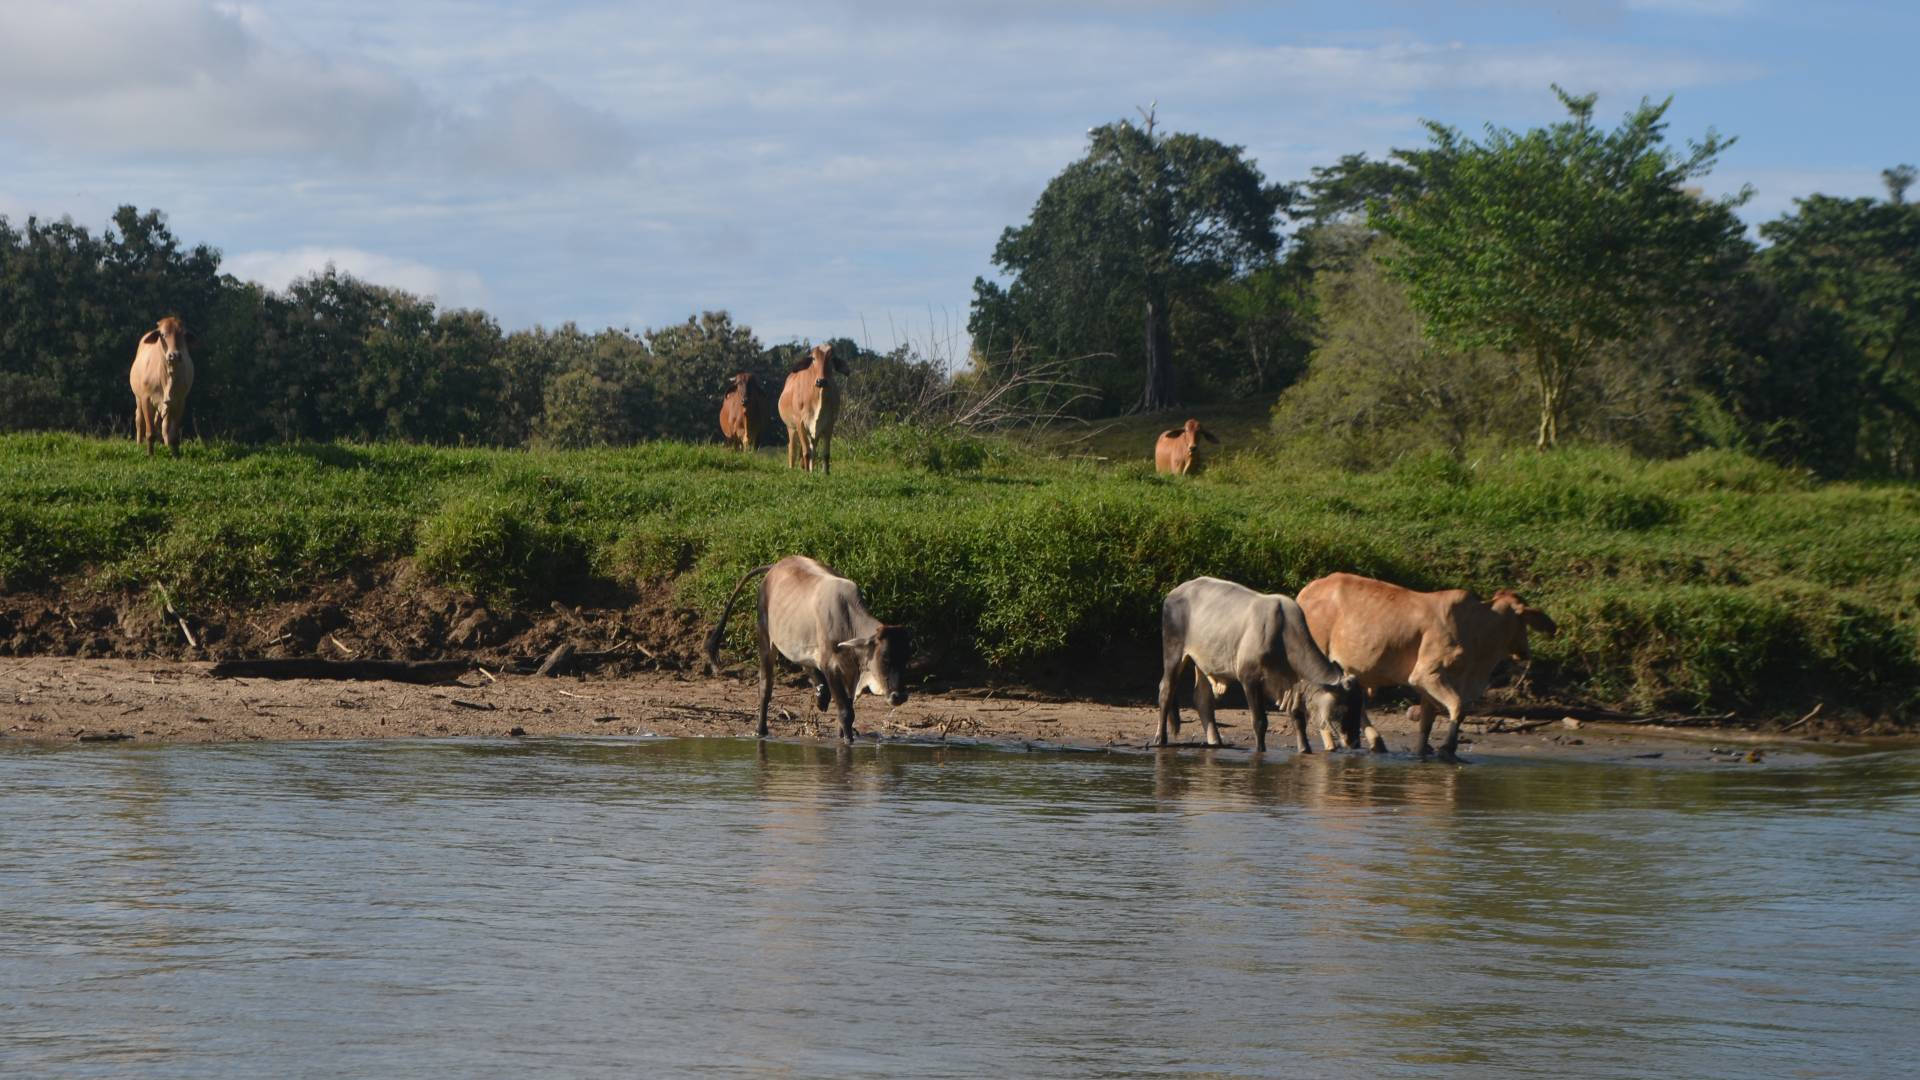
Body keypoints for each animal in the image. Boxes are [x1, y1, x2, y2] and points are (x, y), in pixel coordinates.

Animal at [129, 316, 196, 457]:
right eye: (163, 334)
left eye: (182, 334)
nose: (174, 355)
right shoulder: (146, 399)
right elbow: (149, 432)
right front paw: (150, 455)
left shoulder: (179, 402)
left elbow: (173, 434)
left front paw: (176, 455)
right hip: (138, 398)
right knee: (139, 420)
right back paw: (139, 444)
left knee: (164, 426)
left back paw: (166, 445)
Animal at [704, 555, 913, 741]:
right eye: (885, 658)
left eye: (906, 659)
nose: (899, 696)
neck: (848, 620)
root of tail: (775, 566)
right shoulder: (831, 666)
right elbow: (846, 713)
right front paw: (847, 741)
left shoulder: (852, 673)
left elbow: (848, 710)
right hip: (765, 638)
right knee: (765, 687)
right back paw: (761, 730)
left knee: (805, 664)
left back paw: (821, 696)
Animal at [778, 343, 848, 474]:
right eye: (814, 358)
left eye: (831, 359)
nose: (821, 381)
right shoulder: (800, 423)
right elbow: (806, 452)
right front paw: (806, 473)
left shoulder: (829, 424)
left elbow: (825, 454)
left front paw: (825, 473)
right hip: (791, 427)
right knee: (793, 449)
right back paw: (793, 468)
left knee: (812, 450)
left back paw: (810, 469)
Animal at [1155, 576, 1361, 753]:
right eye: (1345, 706)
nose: (1355, 742)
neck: (1283, 634)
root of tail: (1175, 592)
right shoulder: (1250, 678)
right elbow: (1260, 721)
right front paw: (1260, 751)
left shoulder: (1290, 683)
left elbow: (1298, 718)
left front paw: (1305, 749)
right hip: (1174, 651)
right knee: (1166, 690)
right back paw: (1160, 738)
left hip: (1204, 661)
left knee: (1202, 699)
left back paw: (1216, 741)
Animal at [1294, 572, 1558, 761]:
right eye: (1524, 621)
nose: (1525, 652)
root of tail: (1306, 591)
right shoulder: (1427, 675)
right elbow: (1459, 707)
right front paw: (1448, 749)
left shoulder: (1430, 686)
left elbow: (1427, 722)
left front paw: (1423, 752)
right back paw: (1331, 744)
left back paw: (1376, 742)